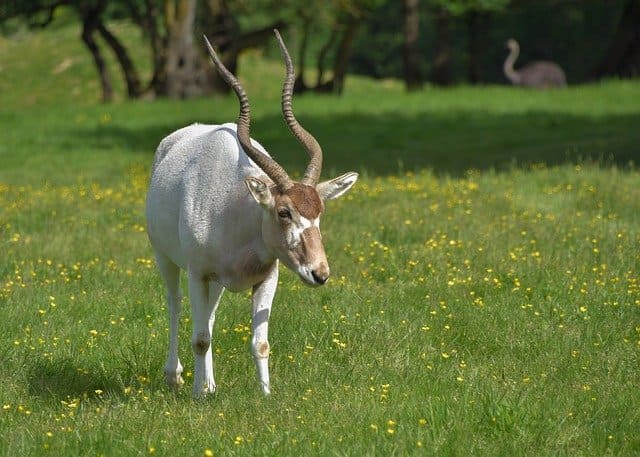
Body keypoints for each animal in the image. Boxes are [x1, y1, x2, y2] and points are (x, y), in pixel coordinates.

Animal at [145, 29, 358, 396]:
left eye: (319, 212)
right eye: (284, 212)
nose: (320, 273)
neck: (236, 212)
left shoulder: (266, 278)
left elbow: (259, 342)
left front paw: (265, 394)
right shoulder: (197, 273)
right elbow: (199, 338)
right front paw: (198, 395)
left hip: (214, 281)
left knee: (210, 315)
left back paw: (210, 382)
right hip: (167, 260)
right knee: (175, 306)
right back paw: (177, 376)